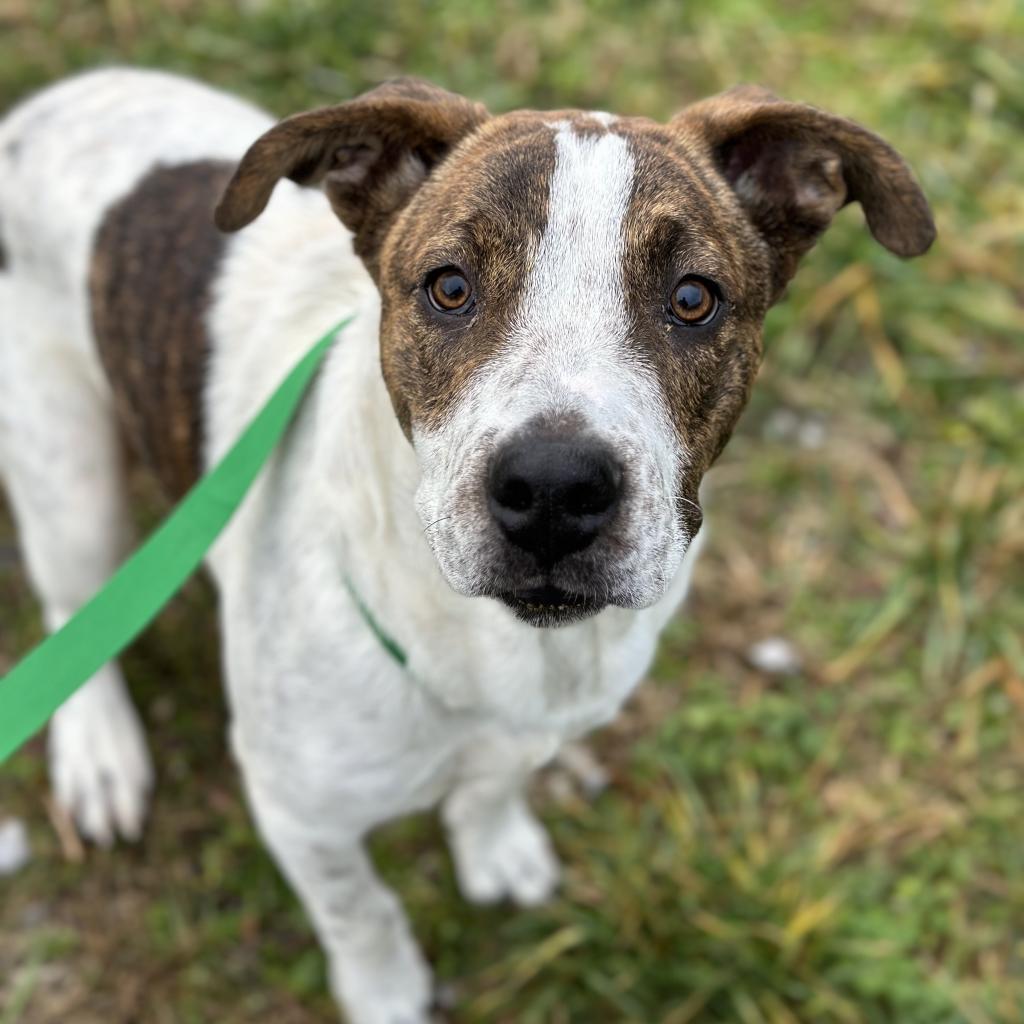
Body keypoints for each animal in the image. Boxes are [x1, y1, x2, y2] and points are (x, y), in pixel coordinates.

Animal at [0, 70, 933, 1024]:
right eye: (448, 287)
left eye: (692, 298)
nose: (555, 490)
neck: (507, 649)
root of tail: (55, 100)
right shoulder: (300, 813)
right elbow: (361, 909)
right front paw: (385, 993)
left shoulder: (533, 729)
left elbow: (491, 788)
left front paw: (496, 847)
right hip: (69, 475)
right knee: (74, 613)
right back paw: (100, 756)